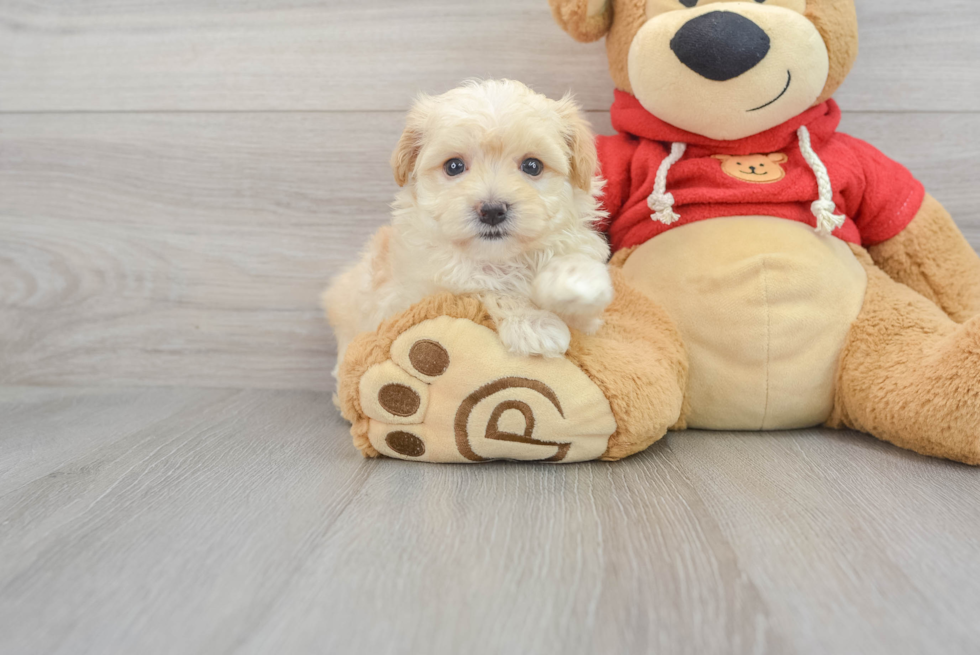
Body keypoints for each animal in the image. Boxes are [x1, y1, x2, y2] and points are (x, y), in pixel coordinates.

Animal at [322, 80, 612, 380]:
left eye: (532, 166)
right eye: (454, 166)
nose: (492, 210)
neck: (499, 258)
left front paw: (574, 280)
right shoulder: (419, 291)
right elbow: (484, 288)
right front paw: (533, 323)